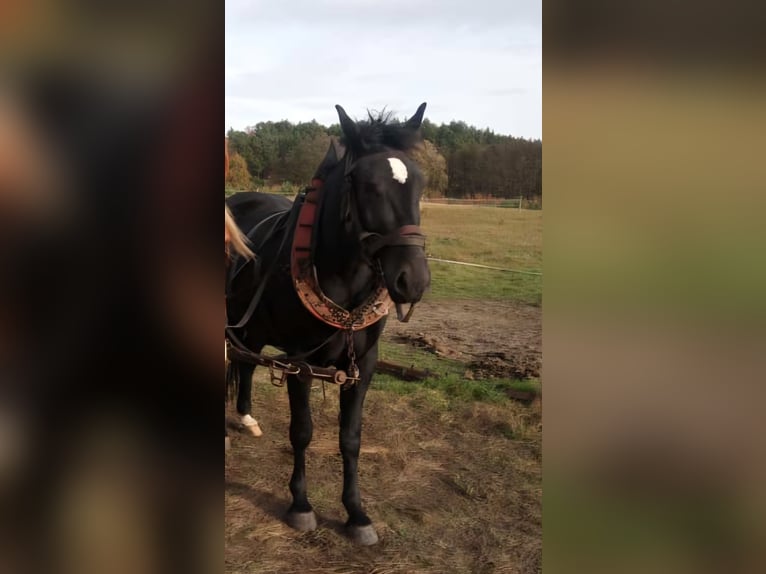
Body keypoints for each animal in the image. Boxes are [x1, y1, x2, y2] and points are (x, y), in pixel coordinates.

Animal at [224, 103, 430, 545]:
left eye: (419, 183)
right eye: (367, 184)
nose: (413, 280)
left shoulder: (363, 366)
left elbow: (350, 439)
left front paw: (357, 514)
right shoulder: (300, 363)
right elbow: (302, 431)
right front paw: (301, 505)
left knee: (246, 362)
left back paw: (247, 417)